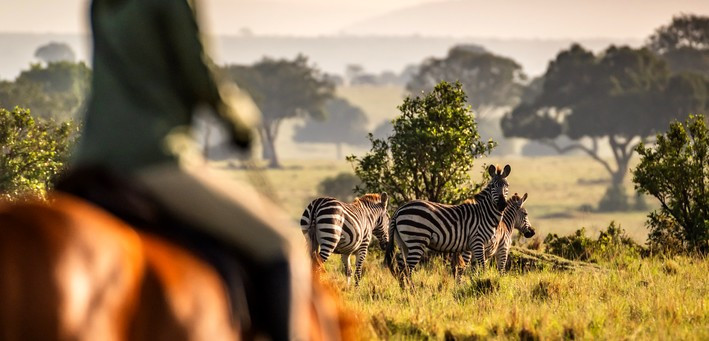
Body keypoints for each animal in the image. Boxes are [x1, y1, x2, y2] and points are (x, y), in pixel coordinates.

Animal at [384, 165, 512, 276]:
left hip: (403, 242)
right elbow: (482, 268)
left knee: (401, 269)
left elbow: (473, 269)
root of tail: (399, 209)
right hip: (416, 240)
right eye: (492, 186)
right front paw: (482, 284)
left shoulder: (473, 246)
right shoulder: (477, 242)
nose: (502, 204)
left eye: (507, 186)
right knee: (407, 270)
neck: (484, 213)